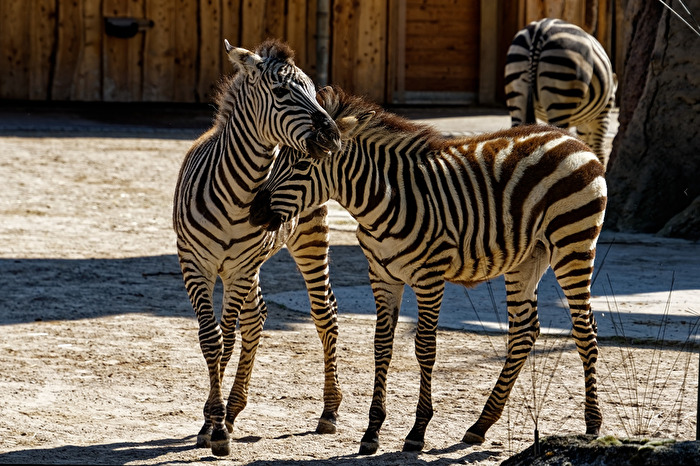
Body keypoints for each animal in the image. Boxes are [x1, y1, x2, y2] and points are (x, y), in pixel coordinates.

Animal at [172, 39, 342, 457]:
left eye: (313, 91)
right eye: (281, 92)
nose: (332, 136)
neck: (236, 195)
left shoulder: (239, 268)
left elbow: (226, 338)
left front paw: (217, 428)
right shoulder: (195, 265)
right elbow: (212, 339)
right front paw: (213, 422)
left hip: (307, 237)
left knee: (324, 311)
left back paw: (329, 411)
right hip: (248, 266)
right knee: (258, 316)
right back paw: (231, 409)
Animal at [250, 86, 607, 454]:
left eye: (302, 164)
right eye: (278, 158)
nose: (254, 212)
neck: (383, 200)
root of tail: (572, 140)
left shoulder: (429, 277)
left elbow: (425, 348)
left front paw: (417, 431)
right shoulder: (382, 275)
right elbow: (382, 345)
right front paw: (372, 431)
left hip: (573, 243)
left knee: (585, 328)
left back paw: (592, 425)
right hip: (528, 258)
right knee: (524, 331)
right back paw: (480, 425)